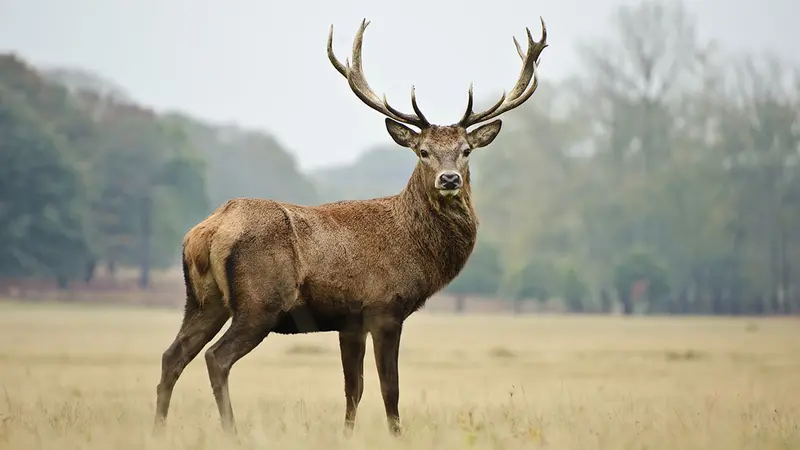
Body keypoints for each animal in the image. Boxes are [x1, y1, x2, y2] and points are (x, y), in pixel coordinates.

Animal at [153, 17, 548, 437]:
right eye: (423, 151)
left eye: (466, 150)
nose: (449, 179)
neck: (414, 248)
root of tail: (207, 232)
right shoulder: (384, 307)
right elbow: (390, 389)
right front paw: (397, 436)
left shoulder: (349, 321)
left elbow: (353, 389)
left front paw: (346, 435)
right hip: (260, 302)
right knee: (216, 358)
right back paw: (232, 432)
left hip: (203, 300)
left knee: (172, 356)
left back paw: (158, 430)